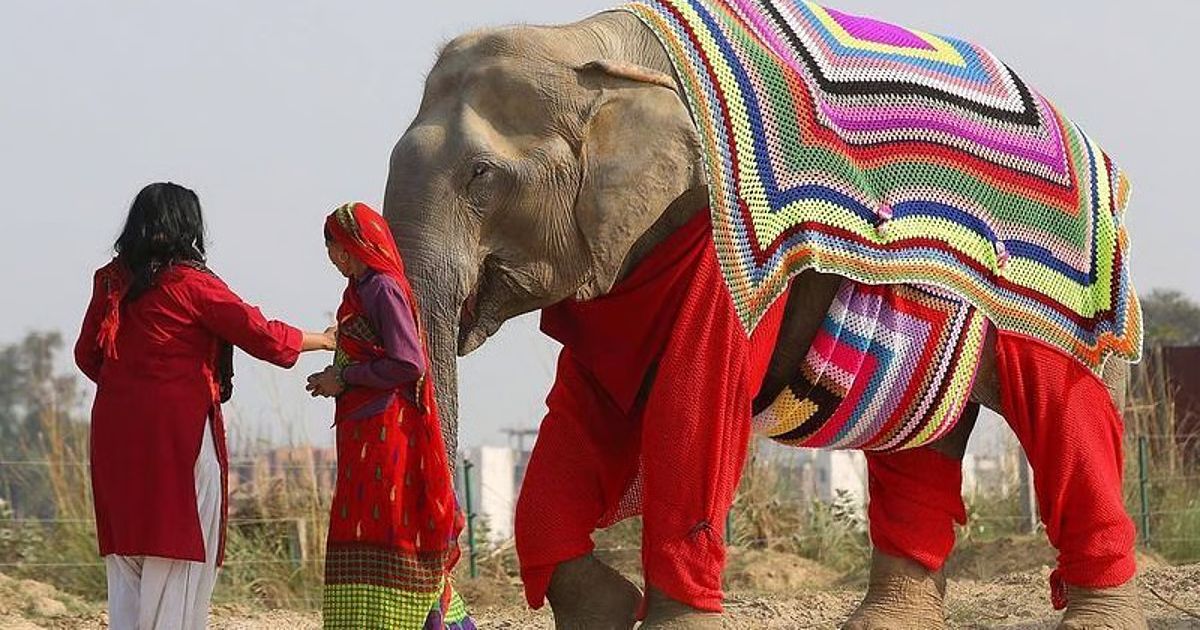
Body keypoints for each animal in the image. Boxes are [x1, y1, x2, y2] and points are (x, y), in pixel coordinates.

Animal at [381, 3, 1144, 628]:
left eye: (481, 175)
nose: (445, 610)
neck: (583, 42)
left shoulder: (718, 240)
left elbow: (693, 399)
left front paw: (666, 623)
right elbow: (582, 403)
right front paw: (610, 612)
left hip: (1069, 297)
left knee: (1068, 415)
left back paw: (1096, 622)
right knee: (920, 447)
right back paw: (883, 625)